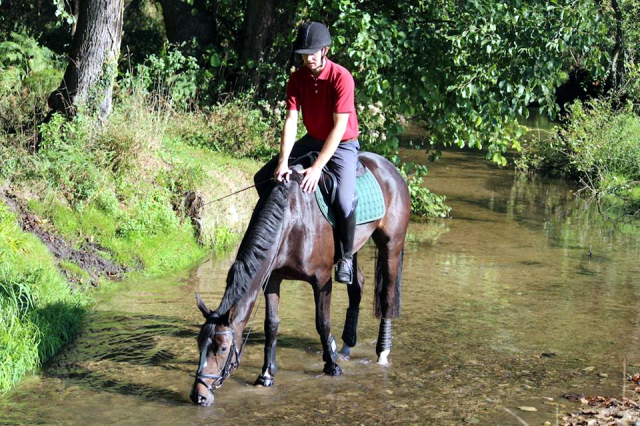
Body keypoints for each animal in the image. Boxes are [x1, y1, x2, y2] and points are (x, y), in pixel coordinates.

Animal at [190, 153, 410, 406]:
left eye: (223, 349)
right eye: (199, 344)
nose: (198, 396)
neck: (292, 221)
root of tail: (389, 167)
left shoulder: (321, 280)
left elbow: (322, 322)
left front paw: (331, 366)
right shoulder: (272, 280)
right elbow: (271, 325)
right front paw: (266, 375)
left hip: (391, 244)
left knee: (387, 296)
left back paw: (382, 352)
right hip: (353, 248)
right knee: (357, 287)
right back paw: (346, 346)